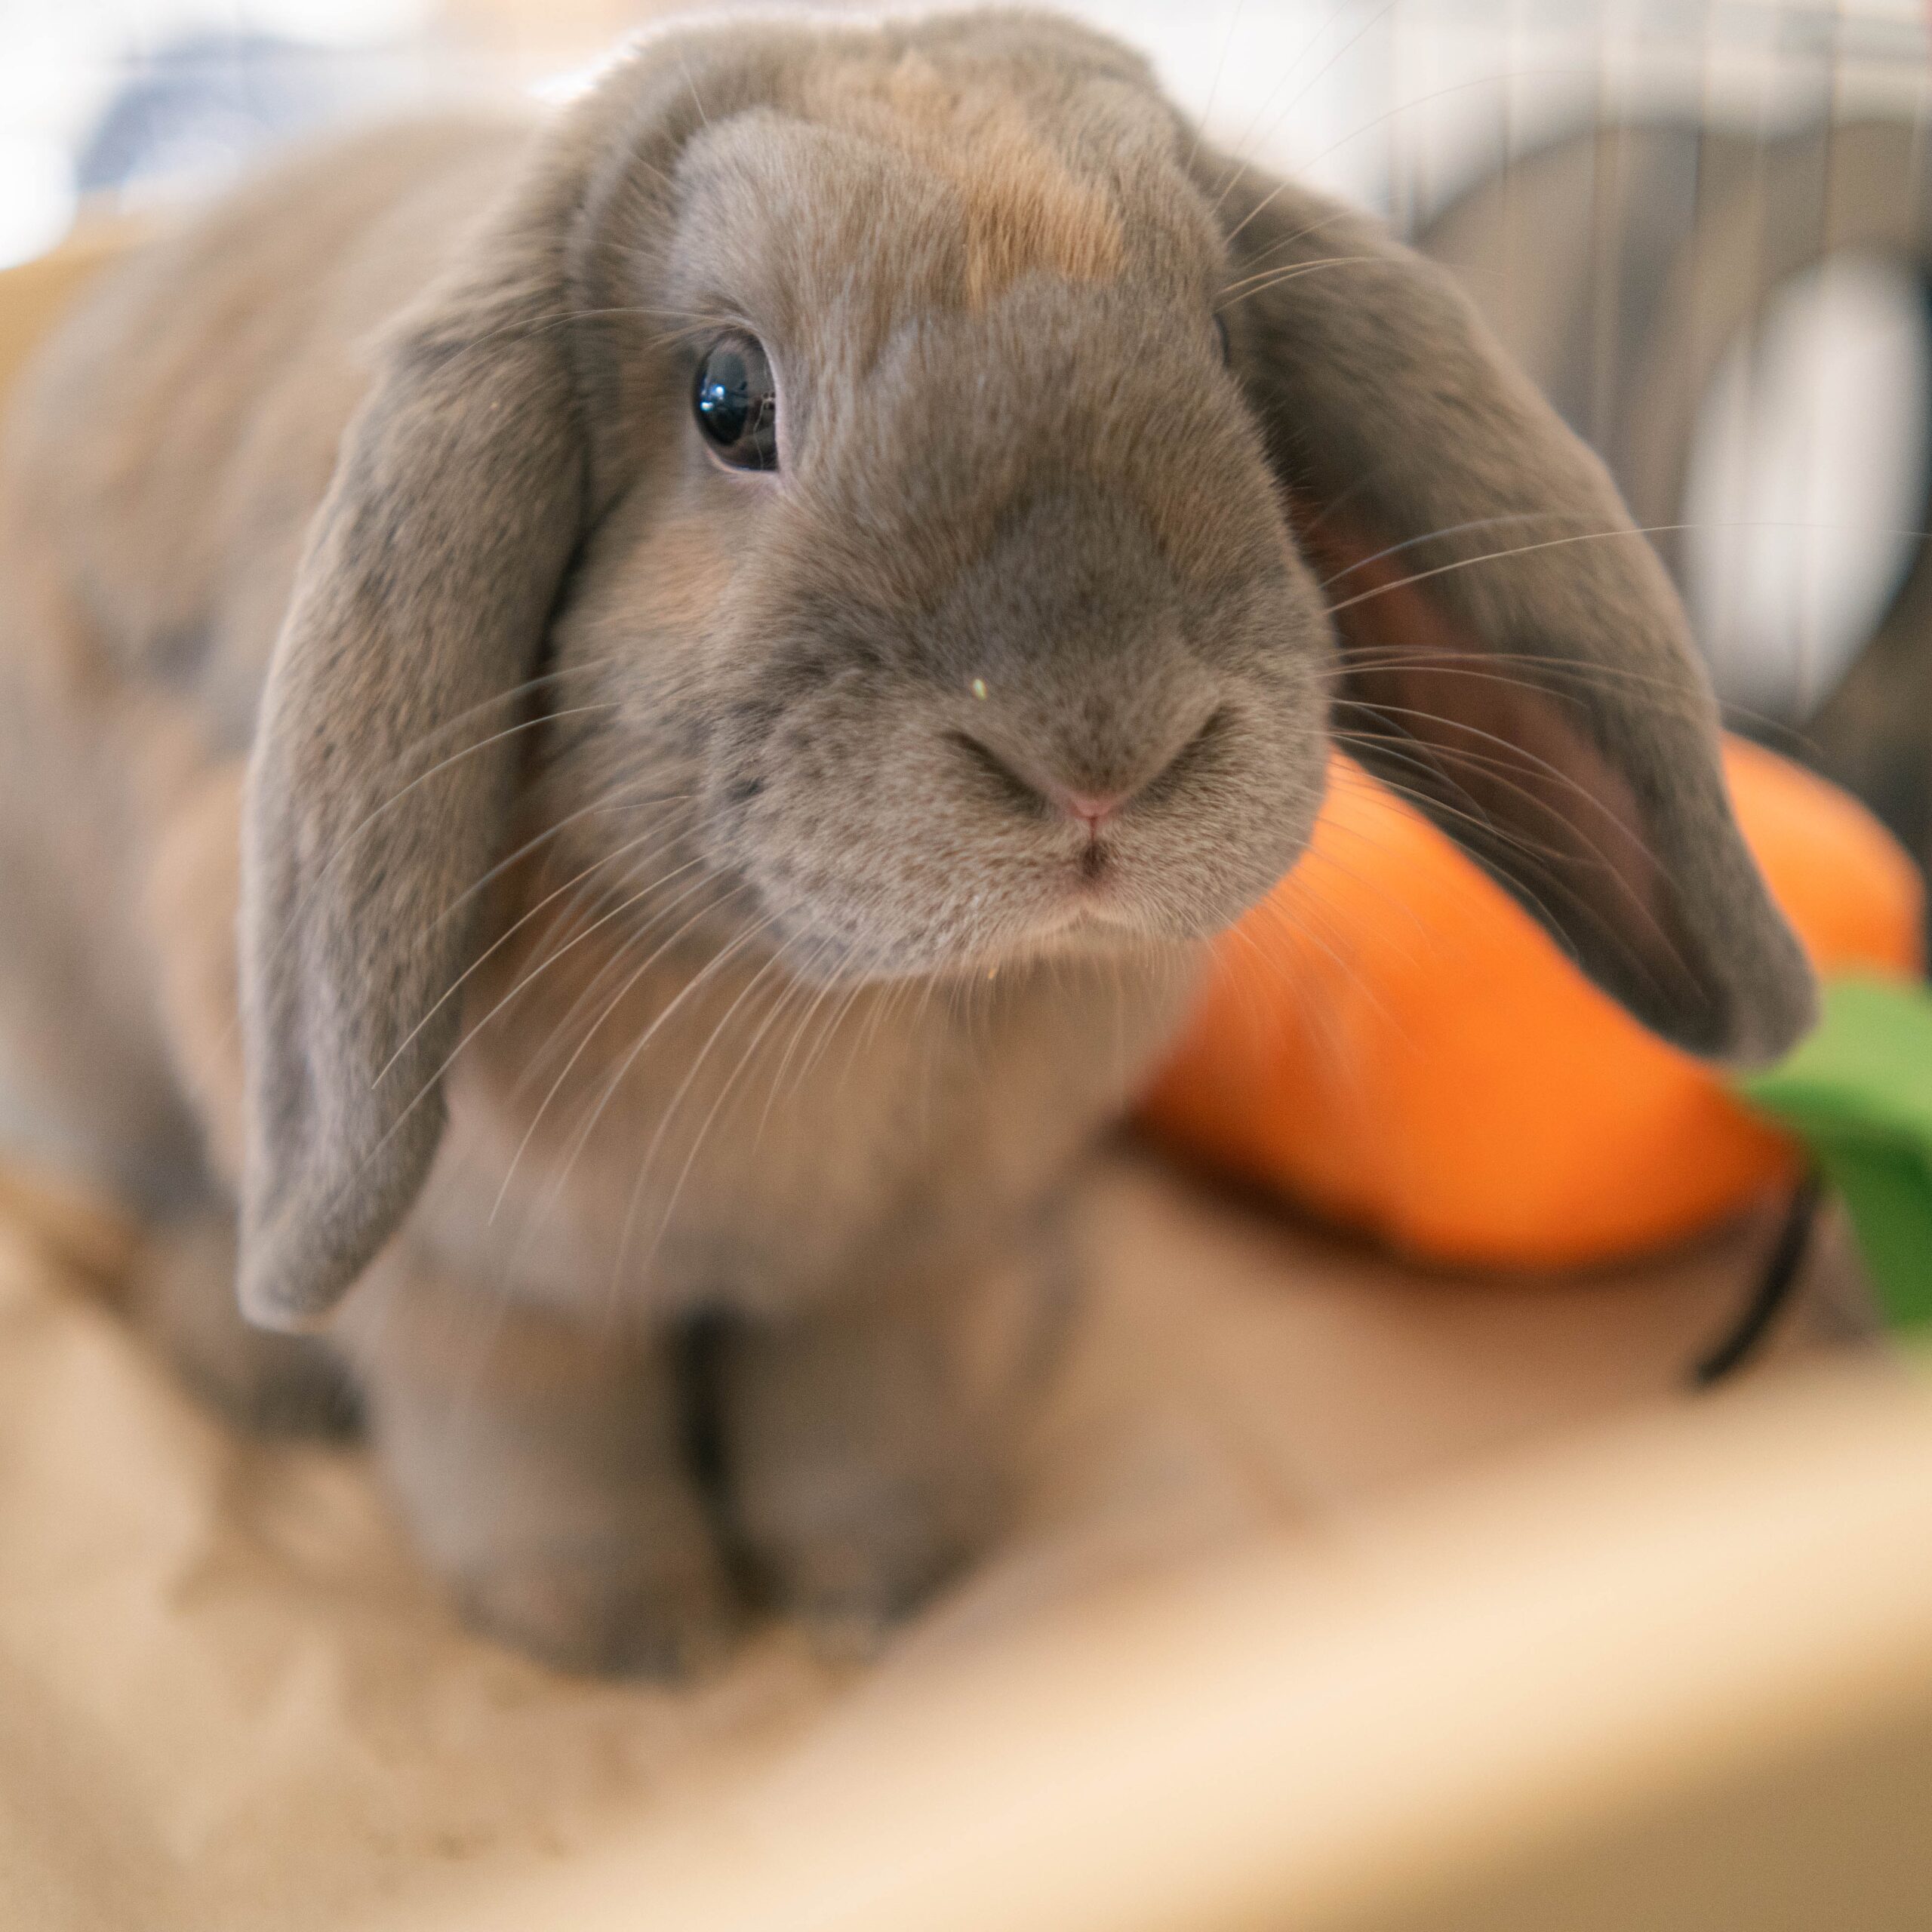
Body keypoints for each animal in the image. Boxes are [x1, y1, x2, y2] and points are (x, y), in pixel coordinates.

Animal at [0, 11, 1808, 1677]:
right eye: (727, 400)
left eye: (1230, 355)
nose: (1103, 752)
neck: (845, 1002)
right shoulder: (471, 1282)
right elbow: (534, 1437)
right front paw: (627, 1636)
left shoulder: (904, 1266)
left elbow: (855, 1411)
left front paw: (880, 1584)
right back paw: (248, 1358)